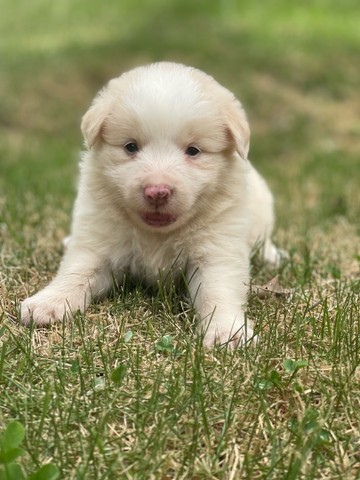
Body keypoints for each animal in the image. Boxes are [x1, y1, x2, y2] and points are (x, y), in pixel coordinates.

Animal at [20, 62, 282, 348]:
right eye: (130, 146)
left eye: (193, 151)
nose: (157, 192)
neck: (157, 235)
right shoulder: (99, 240)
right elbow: (77, 272)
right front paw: (48, 303)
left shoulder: (216, 250)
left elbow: (218, 291)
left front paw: (228, 331)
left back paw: (272, 256)